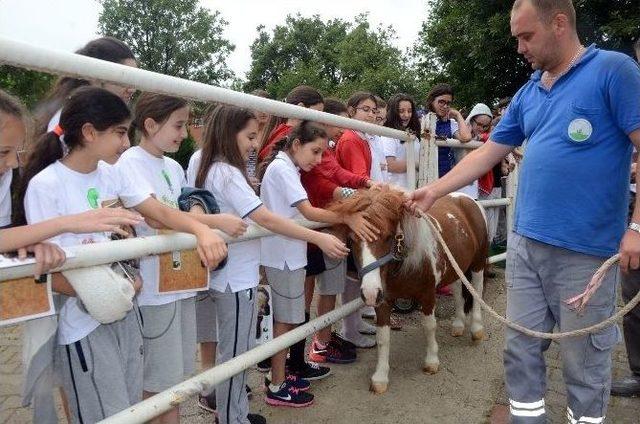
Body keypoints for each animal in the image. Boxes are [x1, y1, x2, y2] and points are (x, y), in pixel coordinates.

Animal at [328, 187, 488, 392]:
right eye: (353, 239)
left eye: (388, 237)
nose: (370, 293)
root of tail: (466, 198)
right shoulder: (384, 301)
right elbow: (383, 337)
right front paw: (380, 377)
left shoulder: (427, 295)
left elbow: (429, 326)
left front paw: (431, 361)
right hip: (456, 266)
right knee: (459, 292)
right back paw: (458, 325)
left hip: (478, 264)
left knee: (476, 292)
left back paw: (476, 330)